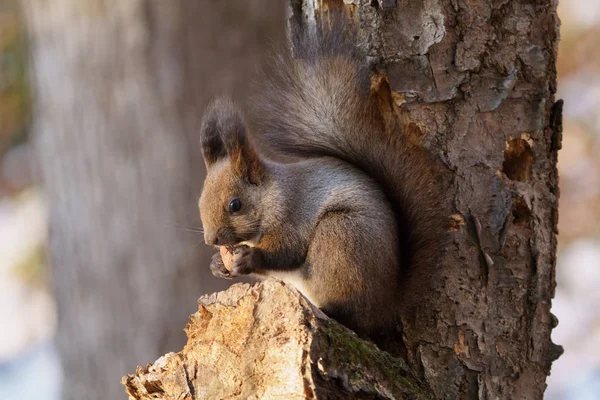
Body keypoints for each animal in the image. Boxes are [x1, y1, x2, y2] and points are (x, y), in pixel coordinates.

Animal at [199, 17, 448, 340]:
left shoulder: (294, 216)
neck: (274, 195)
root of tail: (387, 303)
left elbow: (288, 251)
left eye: (235, 205)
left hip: (340, 238)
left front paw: (249, 259)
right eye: (200, 203)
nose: (211, 240)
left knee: (352, 313)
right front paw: (218, 264)